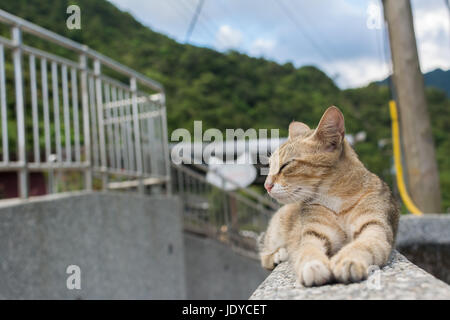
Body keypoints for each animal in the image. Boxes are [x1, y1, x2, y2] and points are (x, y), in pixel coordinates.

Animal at [260, 106, 400, 286]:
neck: (338, 199)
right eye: (270, 166)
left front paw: (347, 259)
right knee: (264, 255)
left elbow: (362, 245)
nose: (266, 185)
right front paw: (313, 265)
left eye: (286, 165)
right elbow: (308, 250)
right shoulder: (313, 234)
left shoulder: (375, 228)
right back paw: (278, 255)